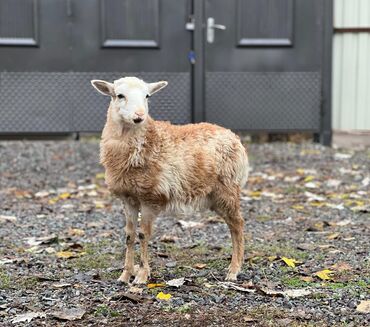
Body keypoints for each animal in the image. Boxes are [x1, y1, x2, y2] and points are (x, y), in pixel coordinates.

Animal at [91, 77, 250, 284]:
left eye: (147, 96)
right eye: (119, 95)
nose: (139, 116)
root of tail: (234, 136)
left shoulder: (150, 196)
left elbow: (143, 235)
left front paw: (141, 275)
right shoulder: (128, 198)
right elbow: (129, 235)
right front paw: (125, 275)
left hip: (227, 188)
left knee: (238, 225)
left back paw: (233, 270)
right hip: (216, 195)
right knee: (233, 225)